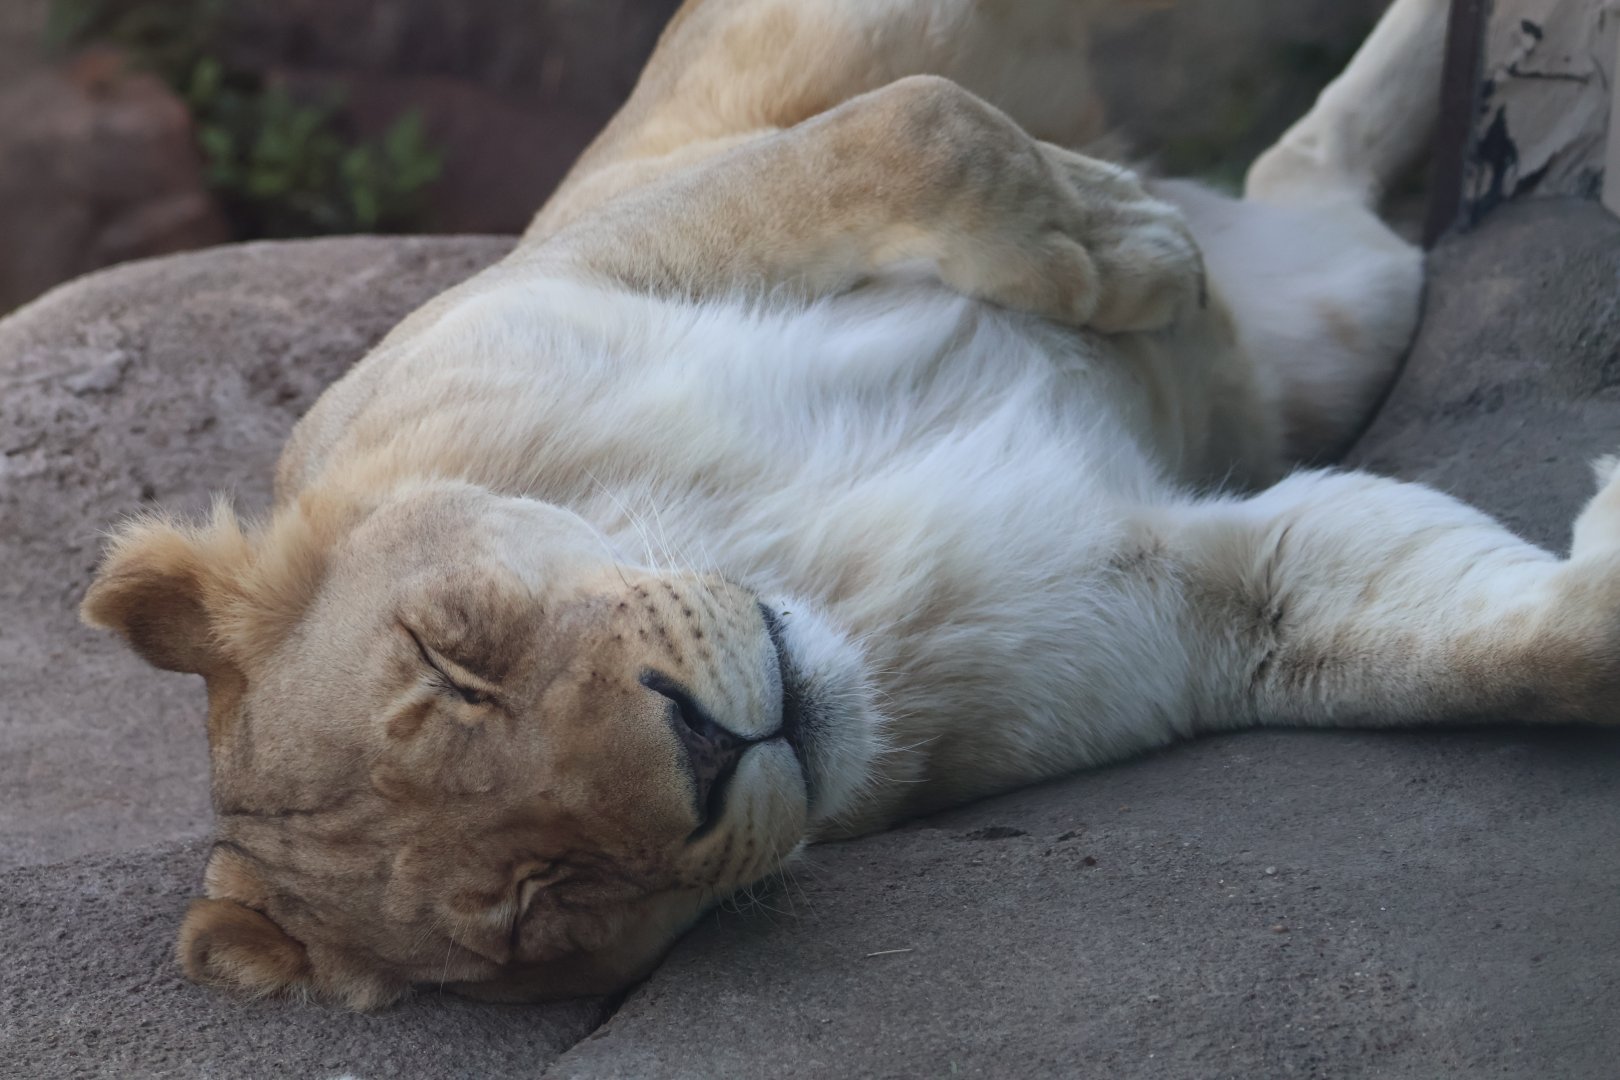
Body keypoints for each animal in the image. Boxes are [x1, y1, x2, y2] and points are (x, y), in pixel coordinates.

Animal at [80, 0, 1615, 1011]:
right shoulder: (1211, 601)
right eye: (540, 902)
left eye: (454, 657)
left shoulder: (600, 254)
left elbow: (918, 127)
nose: (708, 749)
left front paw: (1122, 248)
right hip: (1352, 300)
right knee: (1314, 165)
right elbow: (1519, 646)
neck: (789, 560)